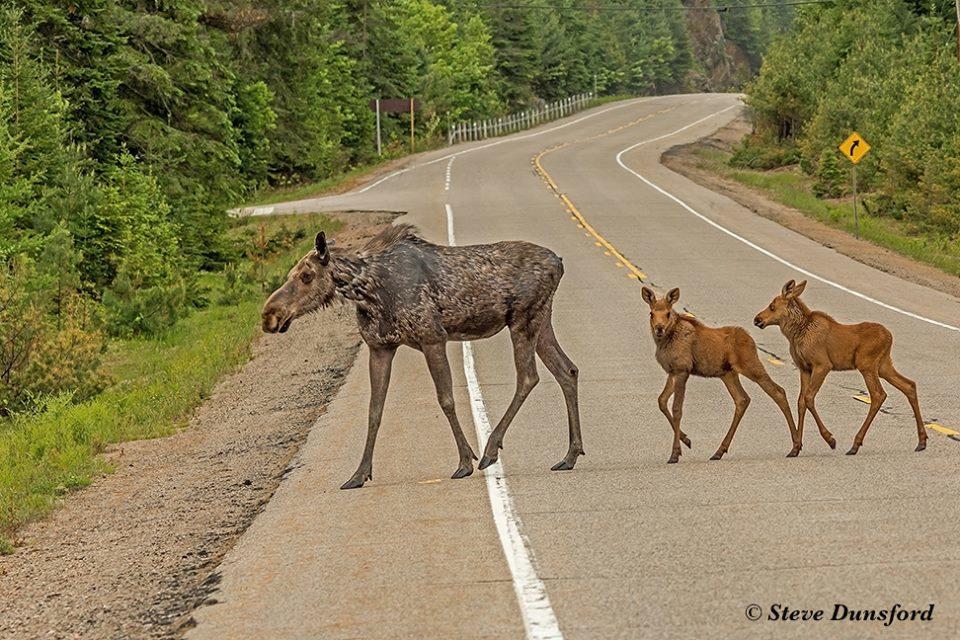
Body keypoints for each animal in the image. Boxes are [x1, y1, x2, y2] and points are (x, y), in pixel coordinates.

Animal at [258, 225, 580, 490]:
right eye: (289, 275)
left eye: (307, 275)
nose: (269, 315)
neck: (367, 293)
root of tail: (560, 262)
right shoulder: (380, 348)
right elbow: (374, 410)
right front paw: (358, 474)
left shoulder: (432, 337)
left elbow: (446, 399)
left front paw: (465, 461)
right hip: (541, 320)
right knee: (567, 369)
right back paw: (570, 455)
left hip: (523, 319)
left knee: (529, 376)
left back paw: (490, 451)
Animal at [644, 288, 804, 462]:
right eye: (651, 313)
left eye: (667, 313)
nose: (659, 328)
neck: (665, 342)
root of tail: (751, 339)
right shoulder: (672, 372)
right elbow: (661, 401)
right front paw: (686, 440)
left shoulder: (682, 370)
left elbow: (677, 409)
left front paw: (675, 453)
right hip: (728, 374)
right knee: (742, 399)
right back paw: (719, 451)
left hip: (750, 366)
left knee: (778, 391)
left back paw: (796, 446)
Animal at [752, 280, 928, 456]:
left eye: (772, 306)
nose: (757, 319)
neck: (796, 334)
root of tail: (890, 337)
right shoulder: (804, 368)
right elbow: (801, 401)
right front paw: (795, 448)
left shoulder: (822, 365)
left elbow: (809, 398)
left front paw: (830, 439)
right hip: (884, 365)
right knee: (909, 385)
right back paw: (921, 441)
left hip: (867, 364)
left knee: (878, 394)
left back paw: (855, 444)